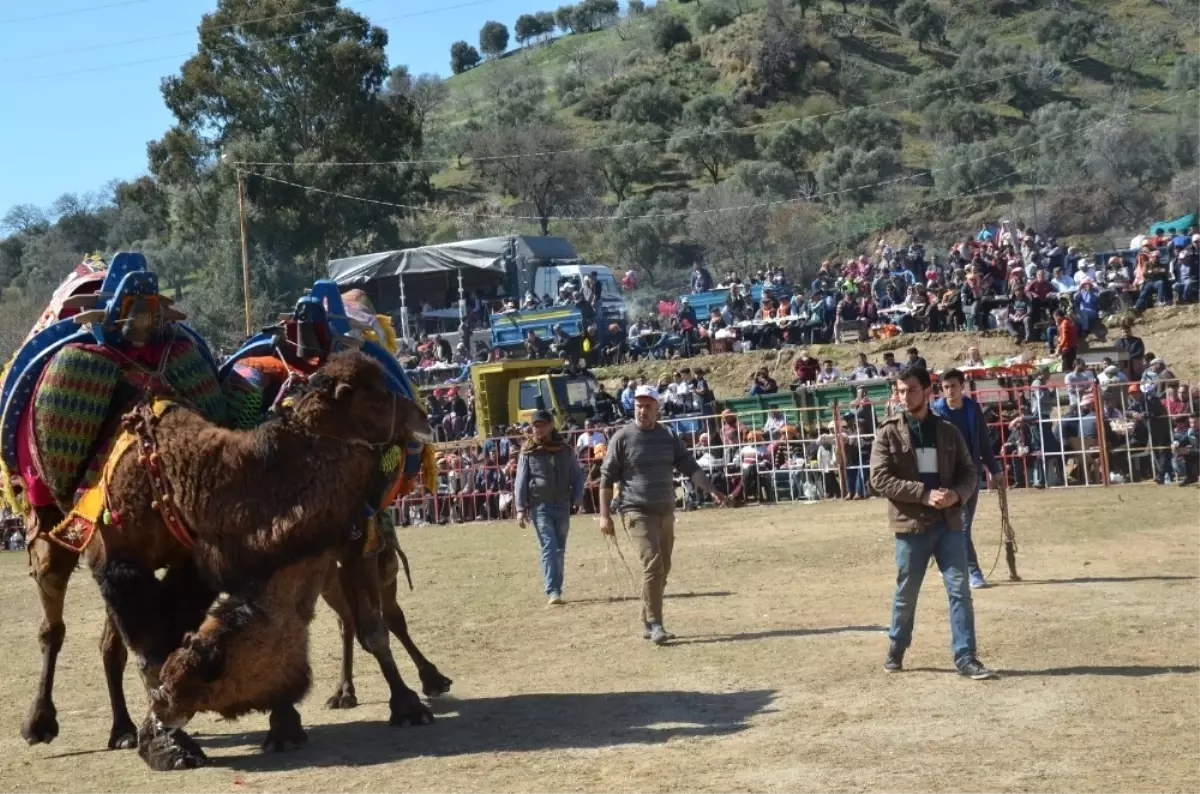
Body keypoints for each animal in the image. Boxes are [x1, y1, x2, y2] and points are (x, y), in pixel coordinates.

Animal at [69, 352, 432, 772]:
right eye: (375, 398)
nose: (421, 416)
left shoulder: (351, 544)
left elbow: (374, 629)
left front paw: (407, 707)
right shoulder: (128, 565)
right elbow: (152, 648)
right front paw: (172, 744)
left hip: (379, 561)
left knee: (385, 615)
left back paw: (430, 680)